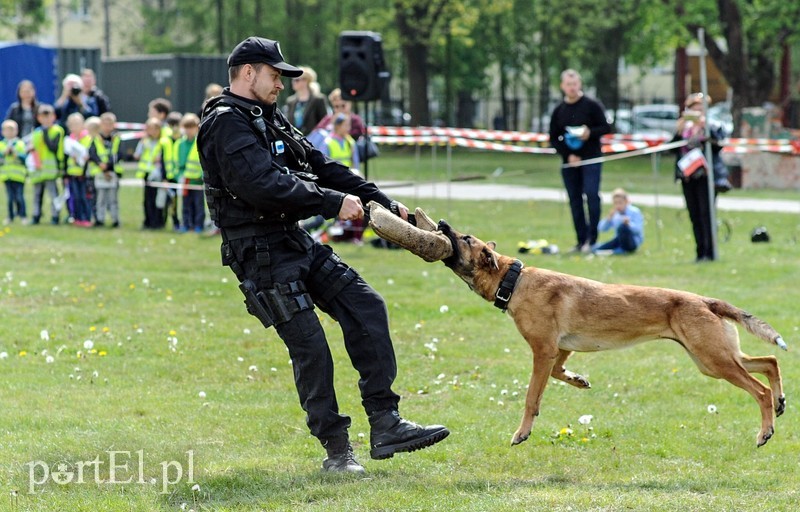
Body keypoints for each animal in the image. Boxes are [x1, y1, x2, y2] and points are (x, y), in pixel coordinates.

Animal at [438, 220, 788, 448]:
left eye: (465, 237)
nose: (441, 222)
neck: (514, 280)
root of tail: (705, 301)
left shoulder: (543, 350)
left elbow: (531, 398)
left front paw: (522, 433)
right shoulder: (559, 350)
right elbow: (559, 371)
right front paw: (578, 380)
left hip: (714, 360)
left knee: (760, 390)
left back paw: (765, 431)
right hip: (714, 359)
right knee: (769, 361)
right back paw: (781, 401)